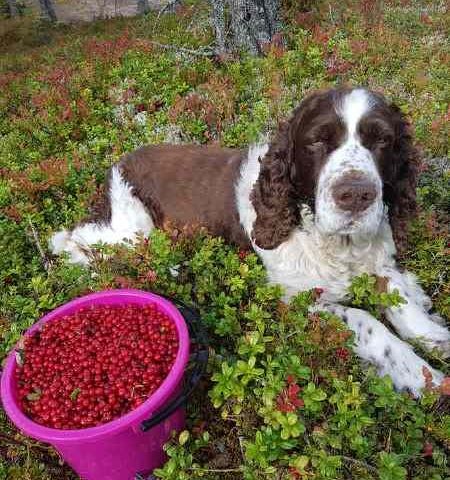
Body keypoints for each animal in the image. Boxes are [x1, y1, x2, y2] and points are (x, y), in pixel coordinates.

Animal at [51, 88, 448, 396]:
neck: (334, 242)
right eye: (317, 141)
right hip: (132, 230)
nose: (356, 196)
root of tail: (119, 161)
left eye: (383, 140)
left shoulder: (376, 260)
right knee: (74, 236)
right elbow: (366, 320)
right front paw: (419, 374)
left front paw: (436, 337)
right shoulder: (297, 302)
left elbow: (400, 299)